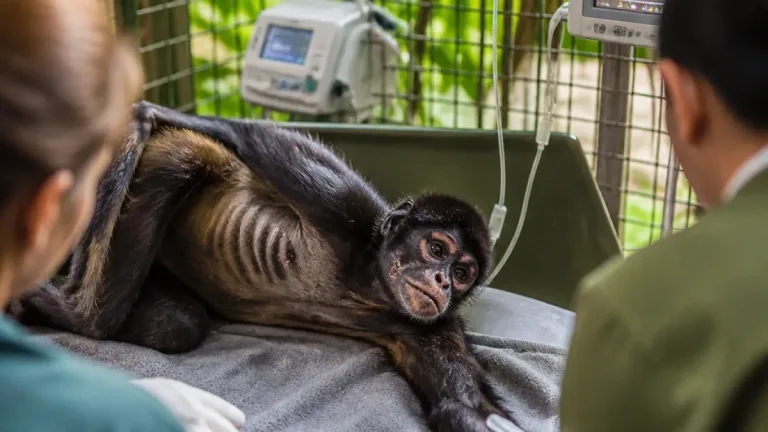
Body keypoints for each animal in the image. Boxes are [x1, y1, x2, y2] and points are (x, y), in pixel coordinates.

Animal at [14, 100, 514, 431]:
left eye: (463, 273)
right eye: (436, 249)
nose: (441, 281)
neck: (369, 285)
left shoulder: (433, 325)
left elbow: (462, 410)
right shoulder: (346, 209)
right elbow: (249, 137)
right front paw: (144, 111)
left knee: (178, 323)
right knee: (184, 157)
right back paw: (72, 311)